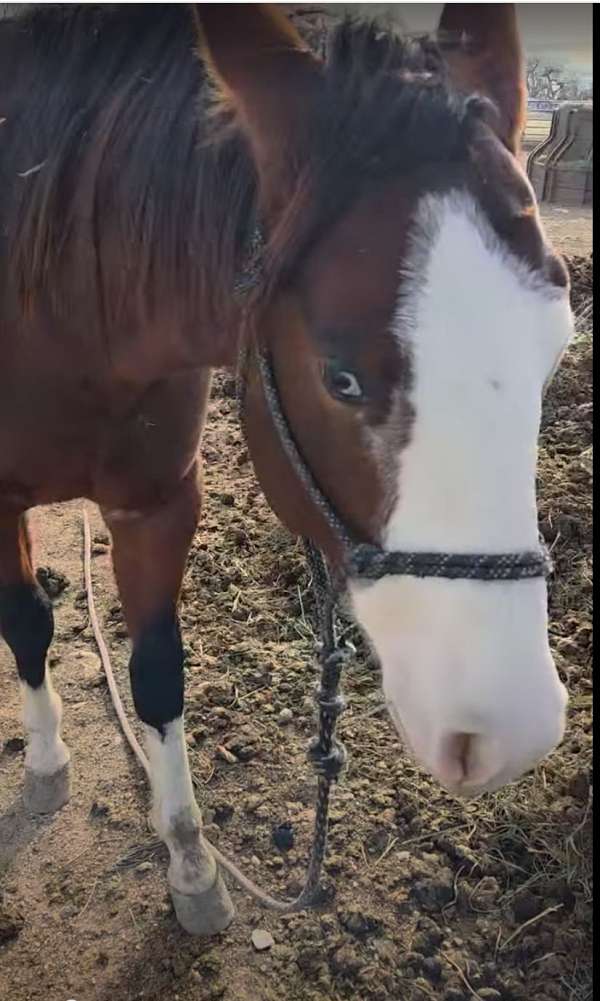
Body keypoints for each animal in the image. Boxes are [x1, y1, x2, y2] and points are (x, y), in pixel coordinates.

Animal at [0, 4, 574, 936]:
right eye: (340, 378)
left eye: (557, 348)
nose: (505, 728)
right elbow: (26, 623)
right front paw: (48, 761)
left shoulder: (158, 504)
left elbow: (157, 675)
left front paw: (192, 863)